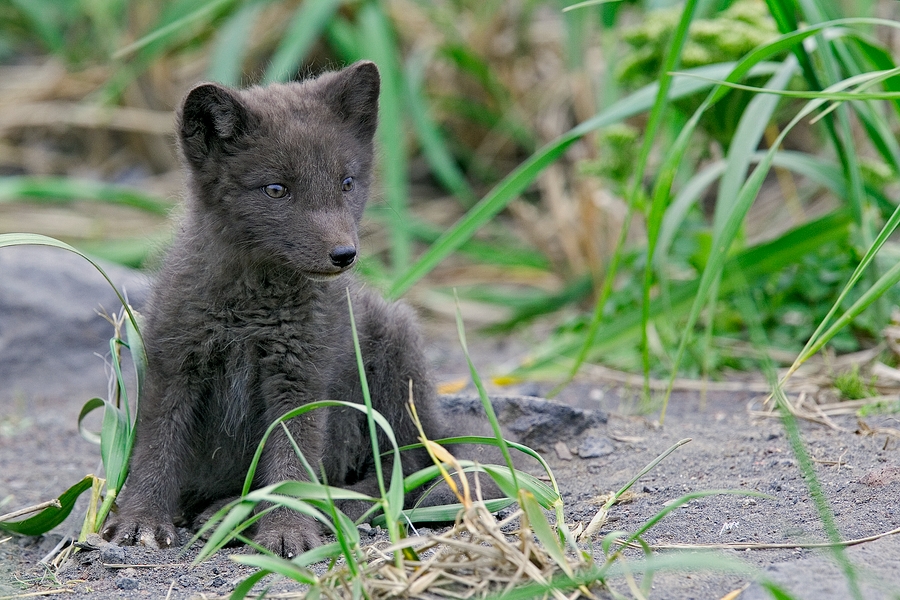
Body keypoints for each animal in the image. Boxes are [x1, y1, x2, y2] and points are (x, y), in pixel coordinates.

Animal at [101, 61, 458, 556]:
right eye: (276, 189)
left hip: (397, 350)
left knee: (405, 468)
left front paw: (288, 530)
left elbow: (292, 463)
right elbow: (158, 445)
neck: (249, 313)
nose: (344, 255)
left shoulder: (302, 373)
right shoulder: (174, 361)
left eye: (347, 184)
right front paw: (141, 521)